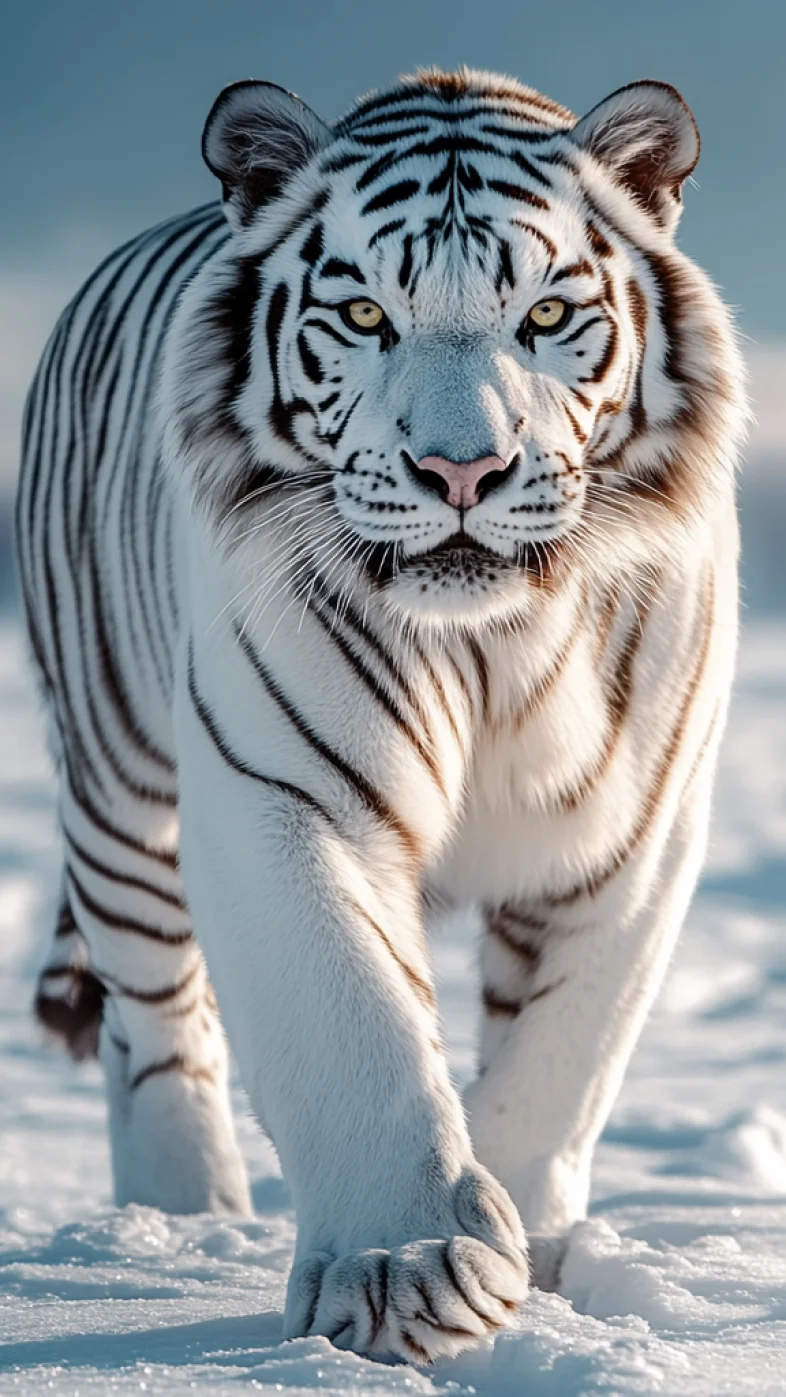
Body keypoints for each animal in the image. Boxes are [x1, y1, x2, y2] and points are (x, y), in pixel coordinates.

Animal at [15, 66, 746, 1363]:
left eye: (546, 315)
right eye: (364, 317)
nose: (462, 472)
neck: (494, 644)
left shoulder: (632, 833)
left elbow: (561, 1059)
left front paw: (531, 1248)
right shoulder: (286, 792)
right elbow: (353, 1026)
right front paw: (405, 1268)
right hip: (118, 792)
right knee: (151, 1027)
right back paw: (176, 1226)